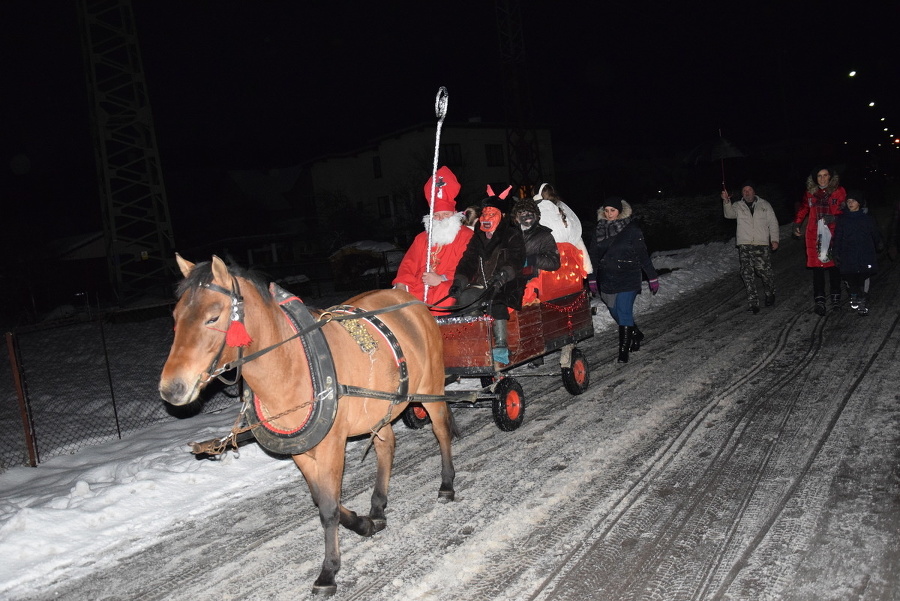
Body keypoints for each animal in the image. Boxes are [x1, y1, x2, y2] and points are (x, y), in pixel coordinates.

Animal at [158, 254, 458, 596]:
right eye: (176, 316)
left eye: (213, 317)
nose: (171, 389)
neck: (290, 364)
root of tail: (412, 300)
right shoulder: (301, 450)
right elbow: (322, 499)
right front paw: (361, 523)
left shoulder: (331, 445)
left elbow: (328, 508)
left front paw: (329, 571)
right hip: (379, 404)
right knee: (387, 446)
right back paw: (378, 507)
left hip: (430, 387)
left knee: (441, 431)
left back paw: (446, 484)